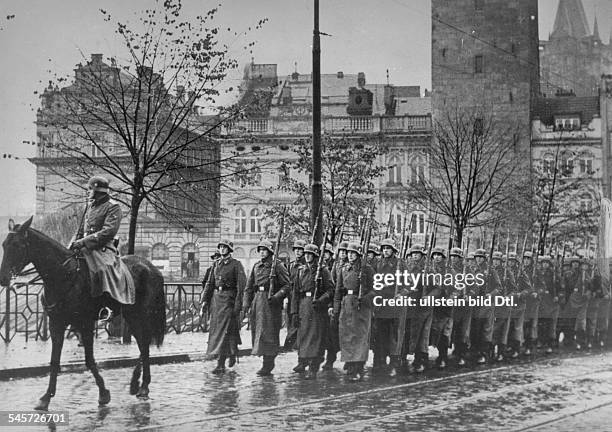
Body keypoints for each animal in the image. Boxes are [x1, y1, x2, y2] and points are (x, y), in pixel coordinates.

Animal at [0, 218, 167, 410]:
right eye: (4, 244)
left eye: (17, 245)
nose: (3, 278)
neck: (63, 275)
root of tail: (152, 268)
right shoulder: (56, 324)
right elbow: (54, 361)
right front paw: (46, 397)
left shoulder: (85, 323)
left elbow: (89, 360)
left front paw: (103, 393)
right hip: (131, 315)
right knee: (143, 343)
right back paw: (136, 384)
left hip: (142, 314)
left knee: (145, 343)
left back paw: (143, 385)